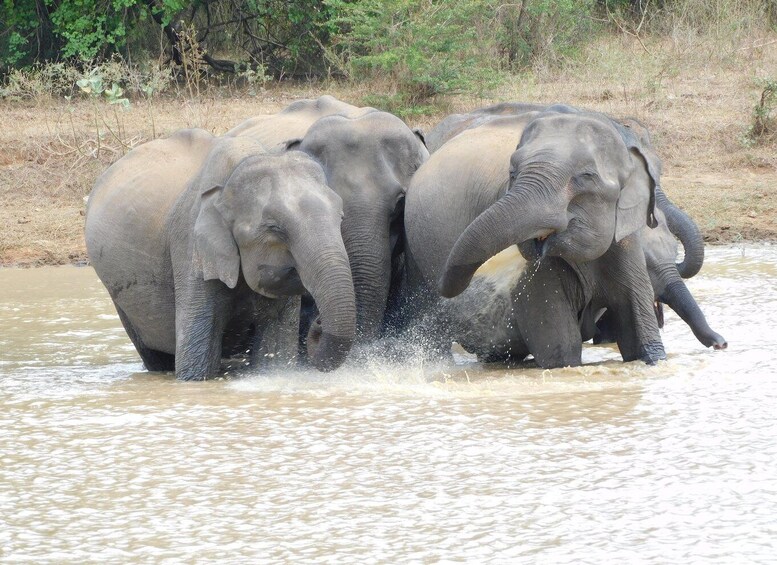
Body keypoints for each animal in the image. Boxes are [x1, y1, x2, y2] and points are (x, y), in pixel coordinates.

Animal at [85, 128, 356, 381]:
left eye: (341, 218)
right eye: (275, 228)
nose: (317, 322)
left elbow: (275, 351)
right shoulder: (190, 245)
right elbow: (196, 361)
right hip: (120, 297)